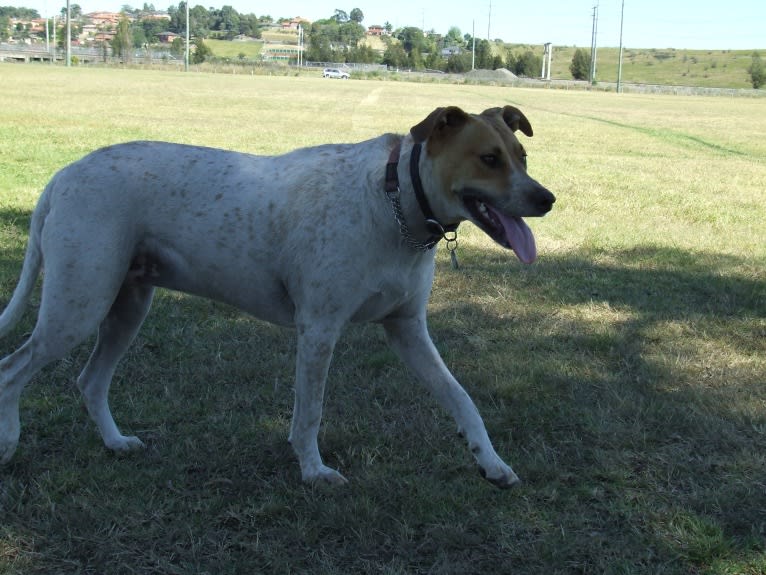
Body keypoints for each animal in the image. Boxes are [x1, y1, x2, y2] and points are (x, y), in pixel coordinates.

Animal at [0, 106, 556, 488]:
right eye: (489, 159)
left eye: (523, 157)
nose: (546, 198)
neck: (393, 201)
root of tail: (63, 175)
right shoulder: (319, 331)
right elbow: (309, 412)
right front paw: (313, 471)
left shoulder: (408, 331)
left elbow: (462, 399)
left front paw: (492, 462)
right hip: (78, 305)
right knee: (13, 370)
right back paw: (8, 444)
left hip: (125, 307)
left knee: (90, 381)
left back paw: (116, 443)